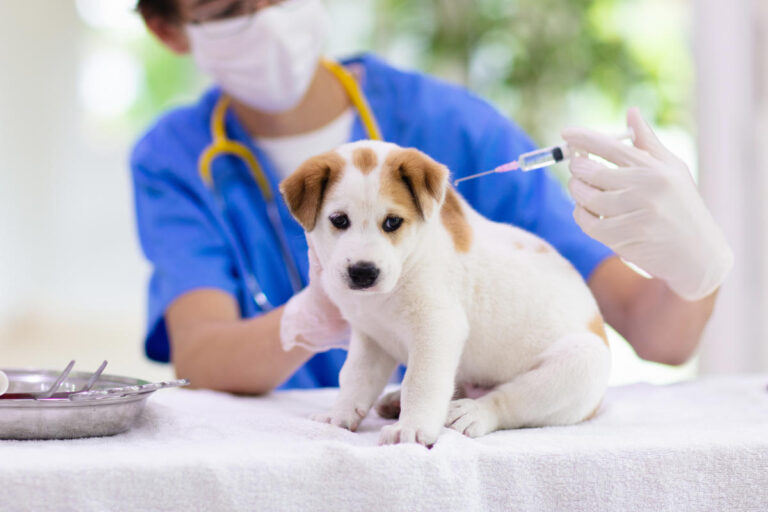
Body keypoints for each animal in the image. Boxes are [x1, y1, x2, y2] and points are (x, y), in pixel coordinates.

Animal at [280, 141, 608, 448]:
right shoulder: (370, 338)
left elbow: (420, 382)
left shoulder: (436, 328)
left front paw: (411, 428)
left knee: (508, 401)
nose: (363, 272)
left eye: (392, 222)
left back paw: (473, 412)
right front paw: (340, 413)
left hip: (581, 363)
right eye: (339, 220)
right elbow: (354, 378)